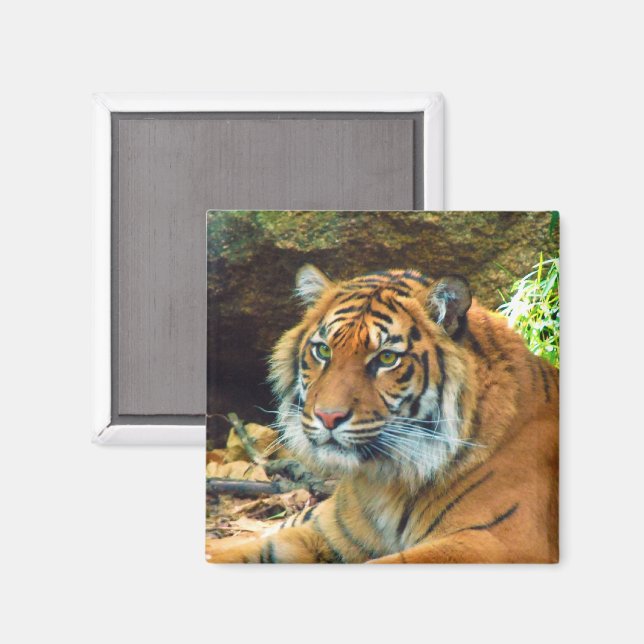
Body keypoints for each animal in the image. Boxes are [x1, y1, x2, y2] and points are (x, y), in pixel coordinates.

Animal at [206, 264, 559, 563]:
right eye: (323, 351)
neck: (386, 482)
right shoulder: (327, 535)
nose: (328, 417)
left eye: (387, 358)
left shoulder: (495, 541)